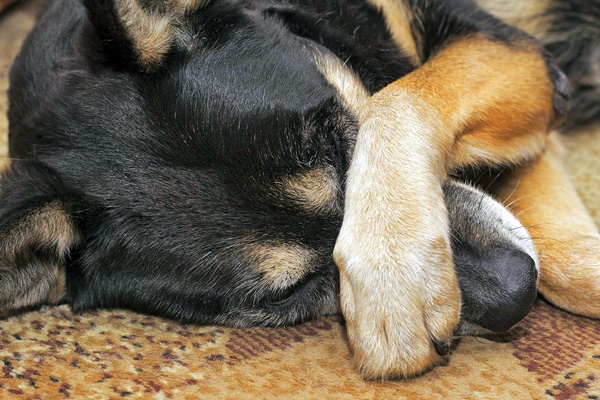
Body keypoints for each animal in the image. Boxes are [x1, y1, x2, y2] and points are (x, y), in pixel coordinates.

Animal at [4, 0, 600, 380]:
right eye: (288, 293)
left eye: (337, 142)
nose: (517, 292)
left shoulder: (517, 56)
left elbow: (399, 97)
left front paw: (393, 267)